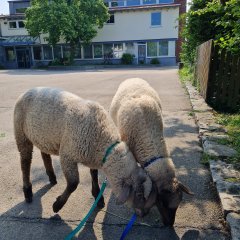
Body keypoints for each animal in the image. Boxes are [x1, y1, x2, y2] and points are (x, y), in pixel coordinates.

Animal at [13, 87, 153, 213]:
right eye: (139, 194)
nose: (145, 213)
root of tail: (27, 91)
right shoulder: (67, 155)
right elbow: (73, 183)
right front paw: (57, 205)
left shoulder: (91, 157)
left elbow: (94, 174)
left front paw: (98, 197)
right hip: (21, 133)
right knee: (25, 162)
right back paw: (28, 192)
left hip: (44, 137)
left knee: (44, 153)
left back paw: (52, 177)